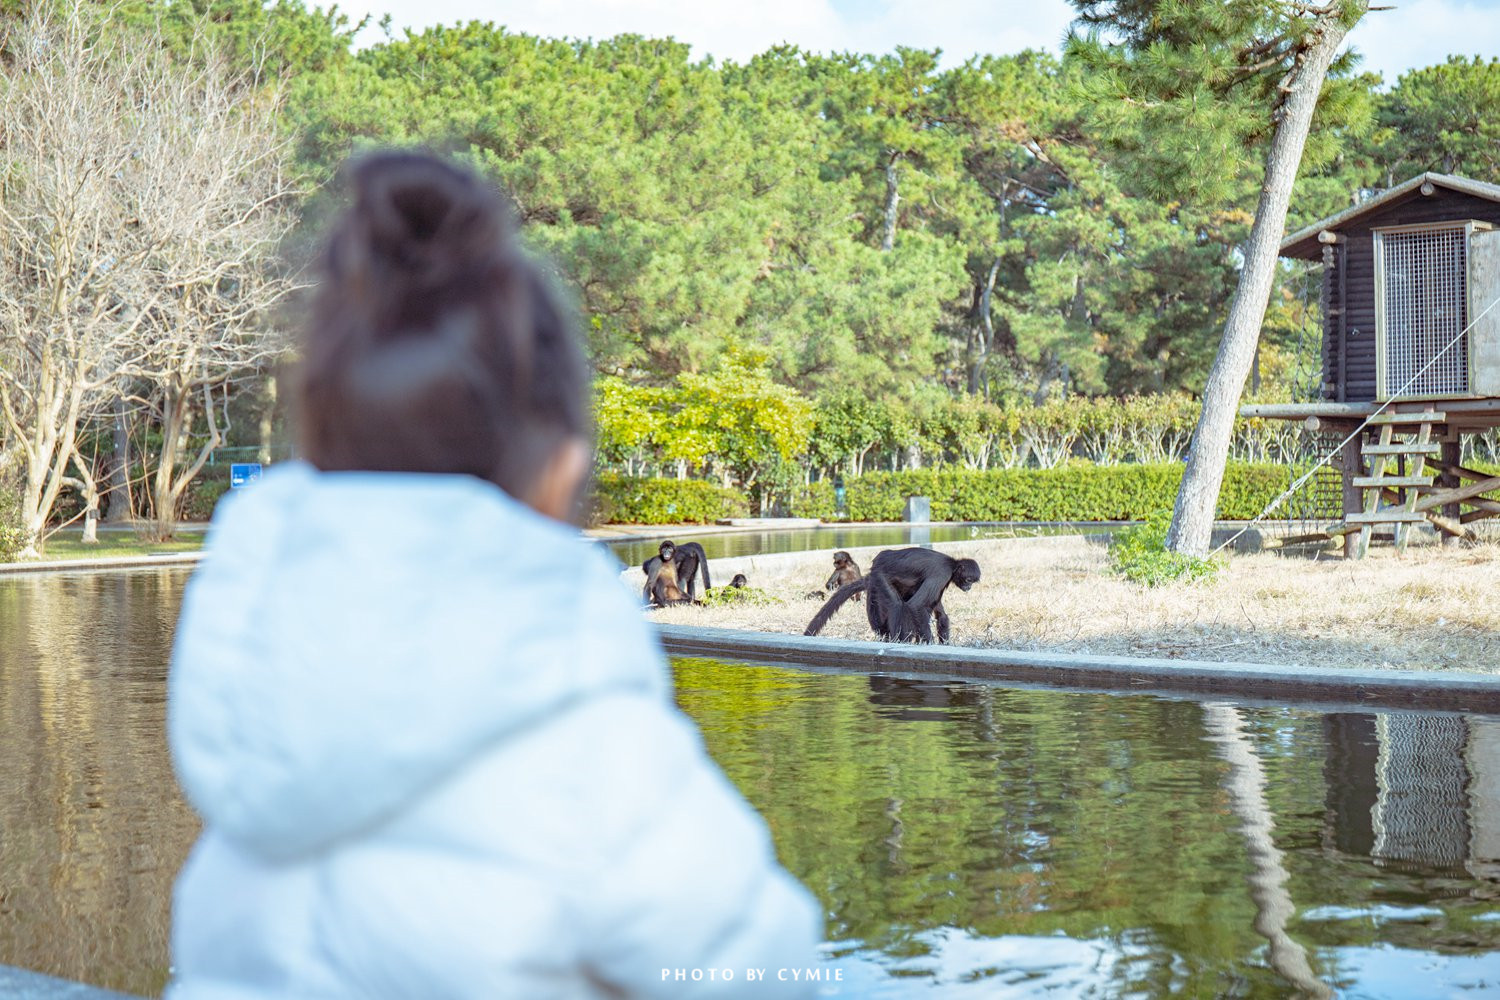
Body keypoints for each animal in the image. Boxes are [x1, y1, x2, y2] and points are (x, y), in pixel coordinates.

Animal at [804, 548, 978, 641]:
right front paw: (929, 643)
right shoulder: (941, 573)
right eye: (969, 579)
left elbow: (941, 615)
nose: (969, 587)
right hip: (880, 576)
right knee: (897, 605)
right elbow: (916, 605)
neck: (952, 564)